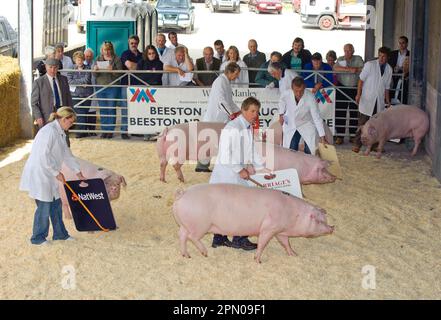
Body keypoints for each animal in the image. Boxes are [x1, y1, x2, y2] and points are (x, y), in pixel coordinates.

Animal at [172, 184, 334, 264]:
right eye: (318, 220)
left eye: (324, 219)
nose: (332, 227)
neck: (293, 214)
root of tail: (183, 193)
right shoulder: (269, 227)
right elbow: (262, 243)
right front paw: (258, 261)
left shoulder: (280, 231)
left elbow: (286, 243)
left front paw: (294, 254)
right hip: (200, 225)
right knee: (192, 237)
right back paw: (205, 253)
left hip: (185, 224)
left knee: (181, 235)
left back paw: (186, 256)